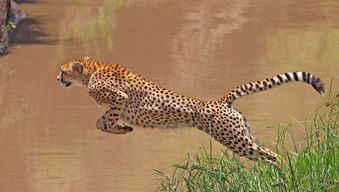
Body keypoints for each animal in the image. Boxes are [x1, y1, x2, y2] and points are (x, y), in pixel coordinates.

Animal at [57, 57, 326, 165]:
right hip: (243, 134)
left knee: (271, 155)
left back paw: (281, 171)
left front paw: (121, 128)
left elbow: (103, 121)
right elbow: (101, 122)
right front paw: (123, 128)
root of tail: (221, 101)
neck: (93, 70)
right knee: (268, 153)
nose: (57, 79)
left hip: (234, 140)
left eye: (63, 70)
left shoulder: (119, 99)